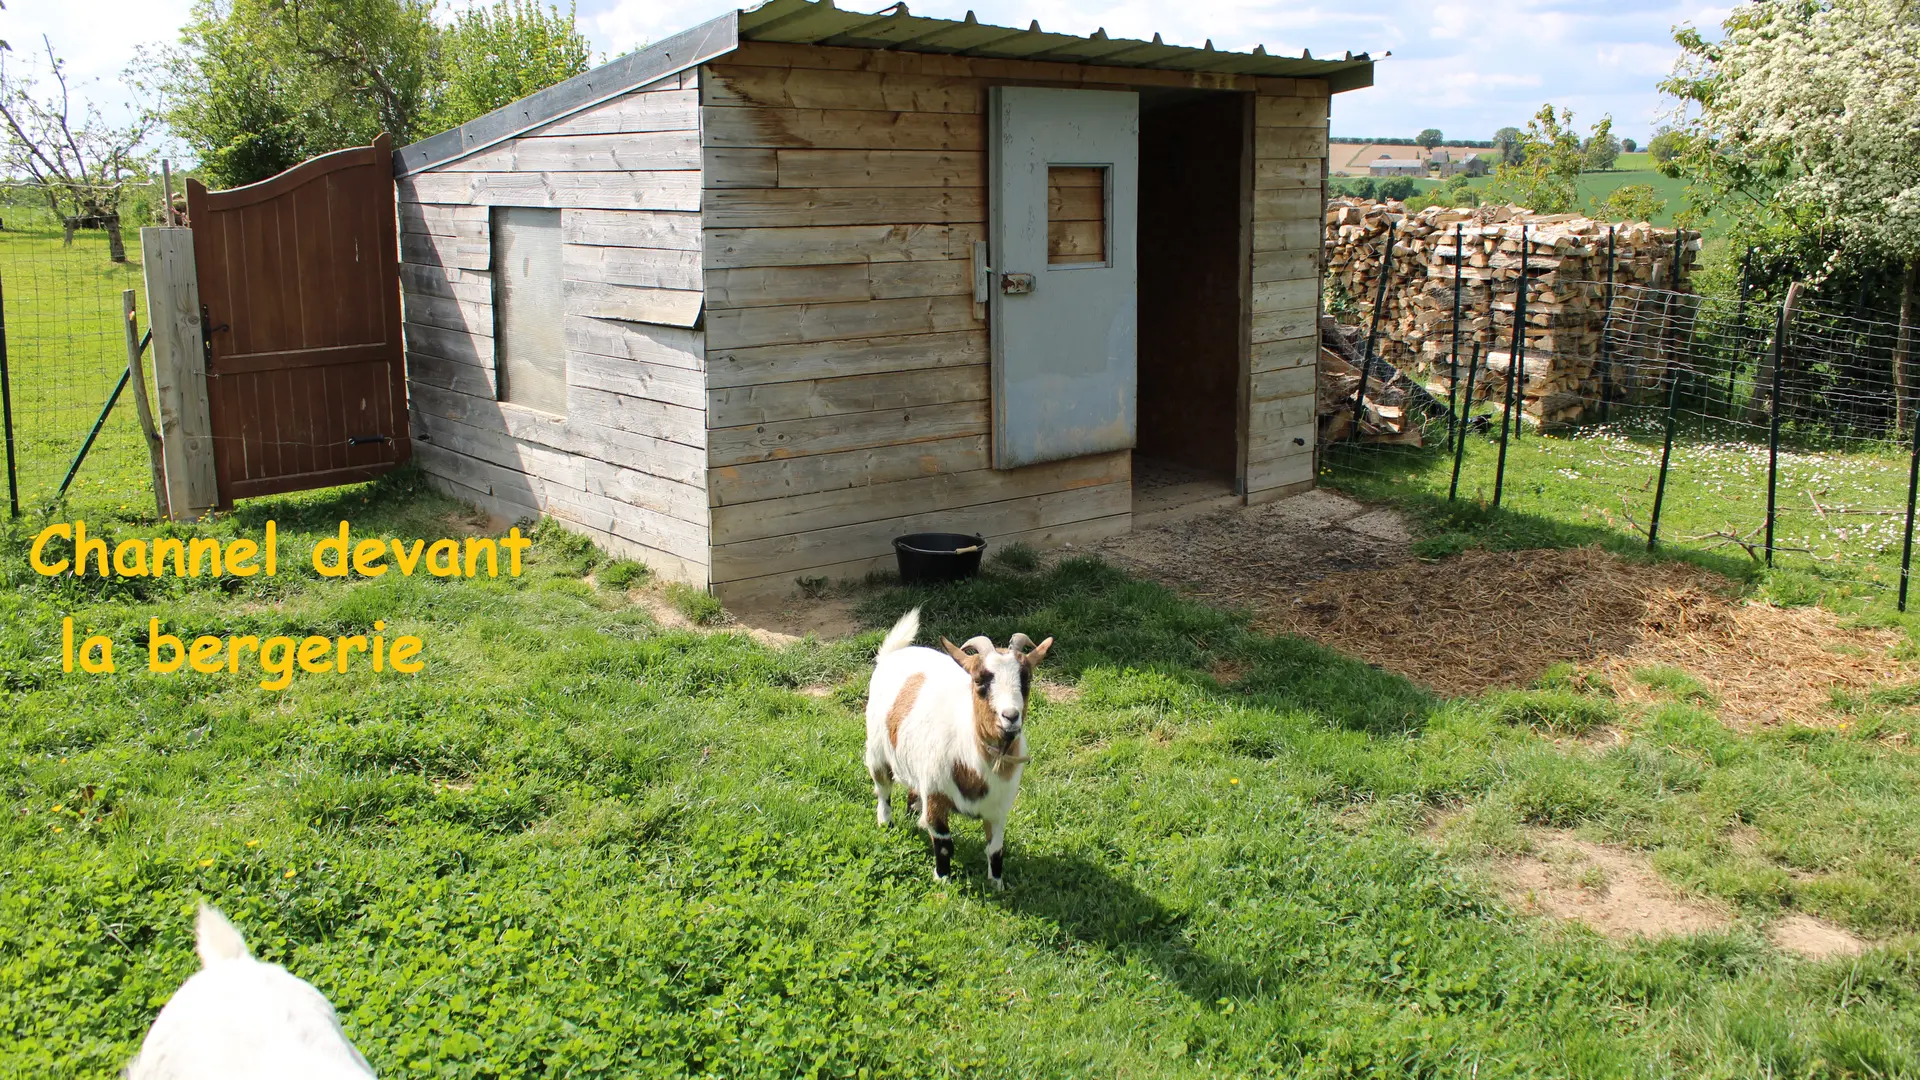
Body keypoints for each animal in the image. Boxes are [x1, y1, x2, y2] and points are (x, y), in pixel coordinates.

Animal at [867, 607, 1059, 883]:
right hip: (876, 750)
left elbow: (996, 850)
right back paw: (886, 823)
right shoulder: (936, 795)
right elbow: (944, 844)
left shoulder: (998, 809)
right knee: (882, 788)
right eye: (979, 681)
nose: (1010, 716)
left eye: (1026, 680)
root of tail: (893, 654)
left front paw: (997, 884)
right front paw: (942, 880)